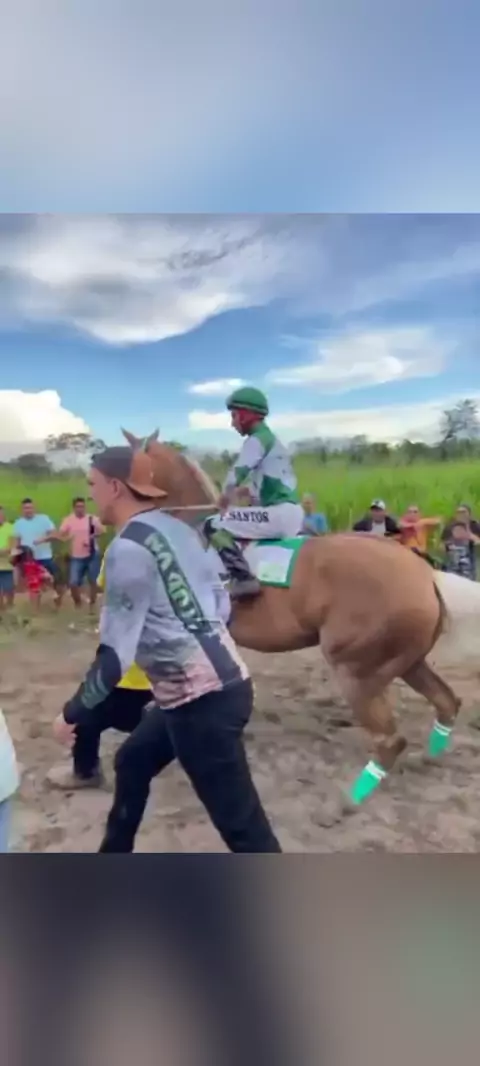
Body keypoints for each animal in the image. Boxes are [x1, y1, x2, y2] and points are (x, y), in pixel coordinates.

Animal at [120, 428, 480, 819]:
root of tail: (424, 573)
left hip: (357, 670)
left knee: (390, 738)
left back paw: (349, 801)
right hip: (408, 662)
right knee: (446, 702)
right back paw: (430, 758)